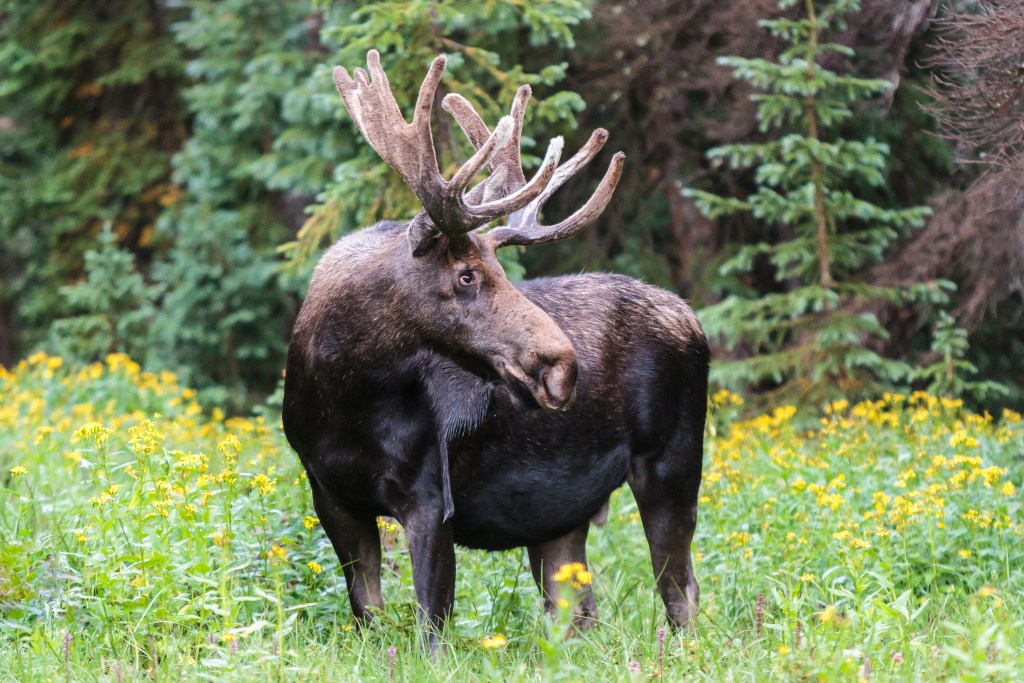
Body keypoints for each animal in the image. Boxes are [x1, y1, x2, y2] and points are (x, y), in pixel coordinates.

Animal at [282, 50, 712, 651]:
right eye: (466, 274)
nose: (563, 365)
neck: (341, 397)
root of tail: (691, 318)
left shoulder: (430, 496)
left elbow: (432, 628)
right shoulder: (330, 495)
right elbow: (368, 616)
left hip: (672, 463)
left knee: (681, 591)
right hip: (561, 514)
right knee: (579, 611)